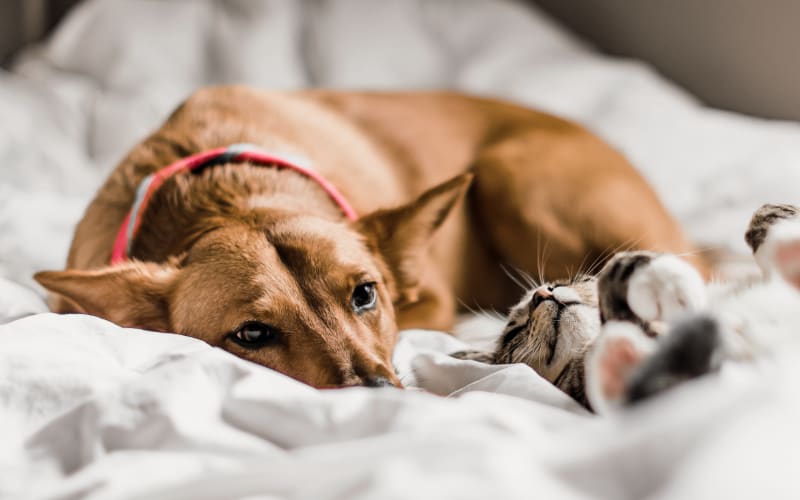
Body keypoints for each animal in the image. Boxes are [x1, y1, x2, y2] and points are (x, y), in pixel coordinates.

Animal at [36, 88, 700, 388]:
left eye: (365, 295)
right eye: (251, 334)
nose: (382, 392)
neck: (228, 194)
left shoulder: (429, 300)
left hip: (516, 179)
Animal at [454, 204, 800, 414]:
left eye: (569, 280)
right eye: (514, 331)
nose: (542, 293)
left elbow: (763, 212)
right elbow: (618, 267)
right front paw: (666, 283)